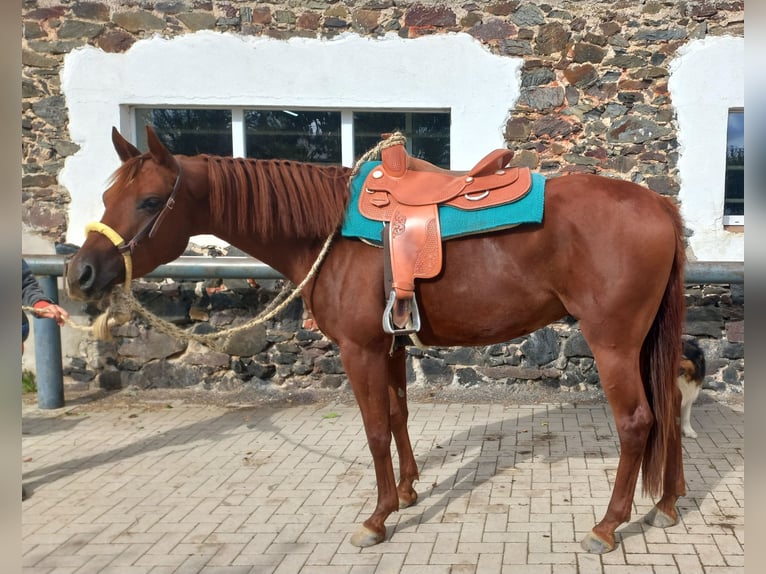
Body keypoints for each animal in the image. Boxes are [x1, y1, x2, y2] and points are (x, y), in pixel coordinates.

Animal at [67, 128, 688, 556]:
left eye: (150, 202)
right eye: (107, 196)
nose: (81, 274)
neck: (326, 232)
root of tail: (659, 204)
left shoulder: (359, 349)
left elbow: (372, 429)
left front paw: (378, 517)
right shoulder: (389, 345)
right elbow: (397, 414)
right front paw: (409, 492)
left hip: (612, 343)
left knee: (637, 420)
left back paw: (608, 525)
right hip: (645, 342)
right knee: (670, 407)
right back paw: (668, 503)